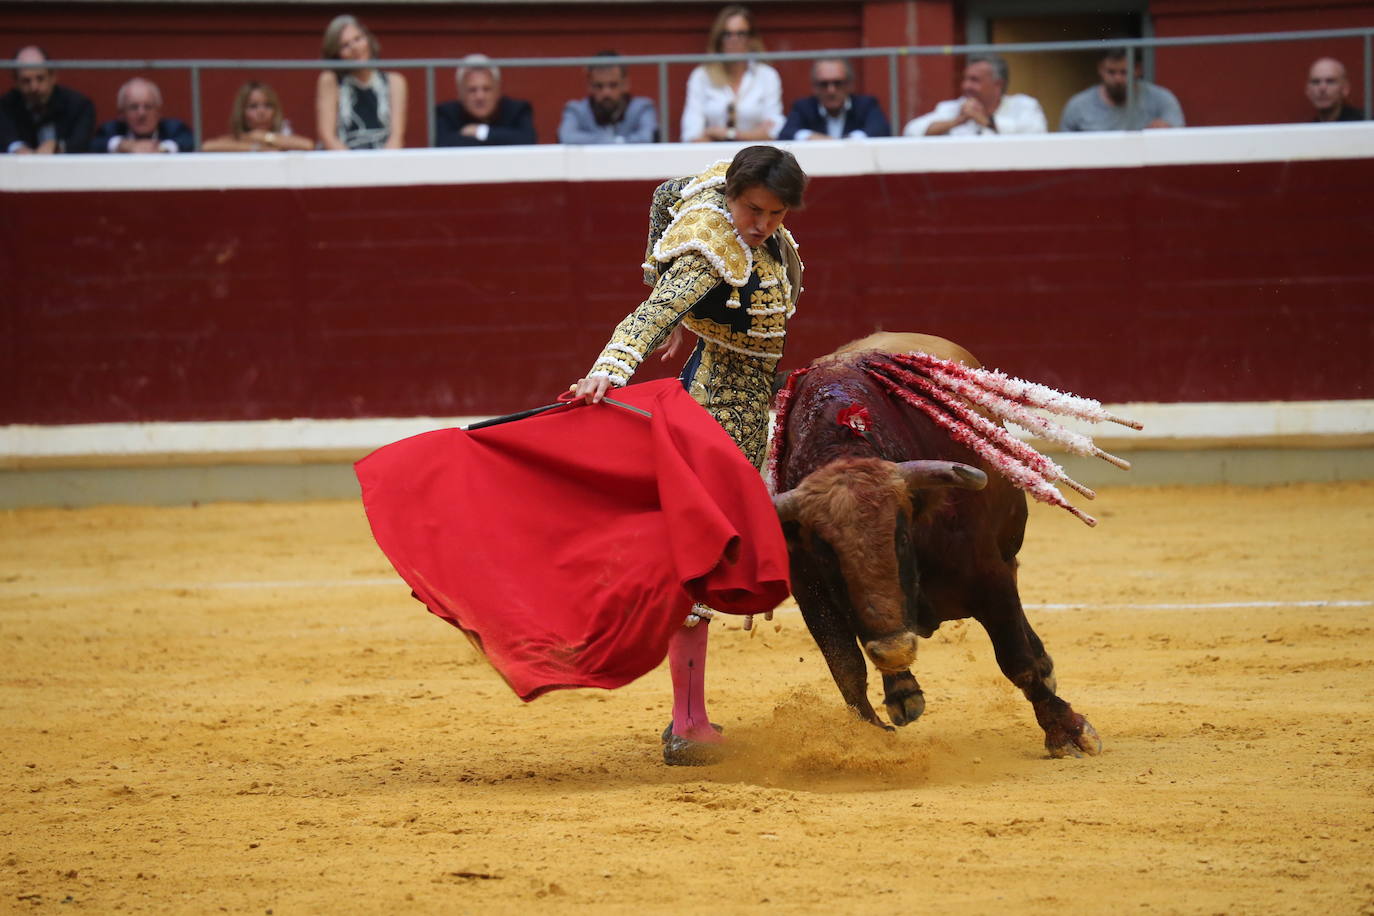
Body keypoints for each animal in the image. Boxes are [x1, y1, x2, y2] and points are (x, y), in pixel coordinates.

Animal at [780, 330, 1099, 758]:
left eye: (901, 535)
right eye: (827, 554)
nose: (894, 649)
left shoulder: (990, 577)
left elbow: (1017, 658)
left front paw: (1067, 731)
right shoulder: (811, 594)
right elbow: (846, 669)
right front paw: (870, 738)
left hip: (1007, 557)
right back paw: (902, 691)